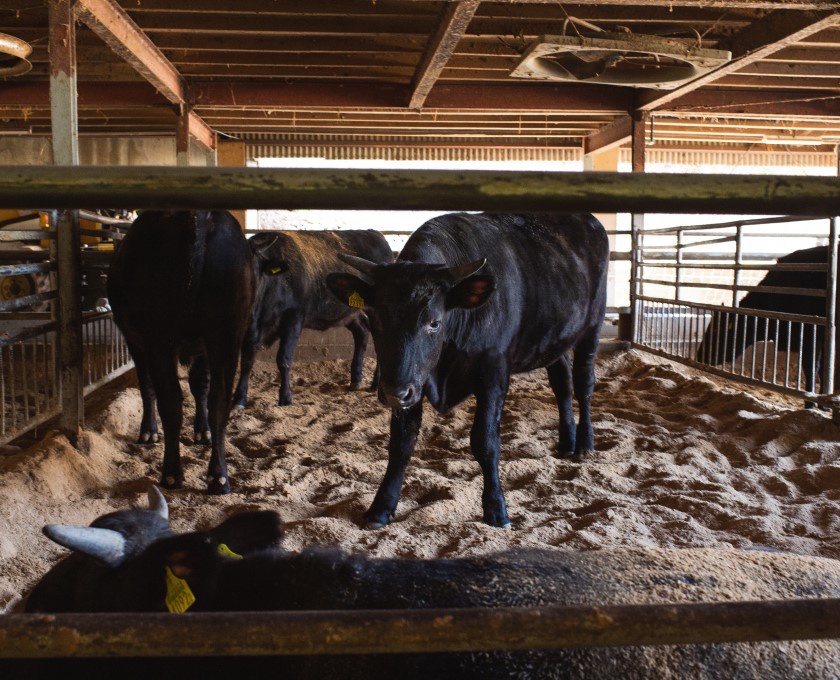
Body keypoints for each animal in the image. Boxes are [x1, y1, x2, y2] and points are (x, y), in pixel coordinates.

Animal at [106, 210, 254, 492]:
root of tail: (197, 216)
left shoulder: (137, 341)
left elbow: (148, 386)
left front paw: (149, 431)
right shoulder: (204, 348)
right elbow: (200, 387)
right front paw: (202, 431)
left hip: (160, 339)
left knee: (171, 401)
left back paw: (172, 473)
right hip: (226, 336)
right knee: (219, 401)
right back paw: (218, 476)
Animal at [235, 228, 396, 410]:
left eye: (252, 268)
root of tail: (375, 233)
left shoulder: (293, 319)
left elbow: (283, 359)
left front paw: (285, 397)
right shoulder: (250, 329)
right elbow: (247, 361)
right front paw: (239, 399)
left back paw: (376, 384)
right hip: (349, 313)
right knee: (361, 331)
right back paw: (356, 380)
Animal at [324, 212, 608, 532]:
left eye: (434, 322)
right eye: (376, 319)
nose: (393, 393)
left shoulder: (494, 372)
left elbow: (485, 442)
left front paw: (496, 510)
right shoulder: (411, 382)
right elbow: (401, 444)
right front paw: (380, 508)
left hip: (592, 326)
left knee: (583, 384)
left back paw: (584, 443)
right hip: (554, 339)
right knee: (562, 384)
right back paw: (566, 441)